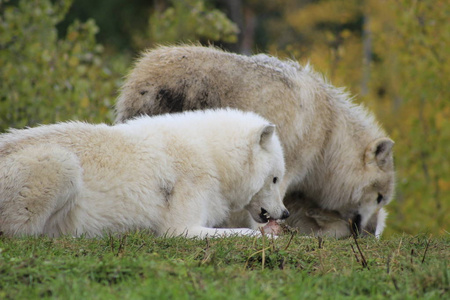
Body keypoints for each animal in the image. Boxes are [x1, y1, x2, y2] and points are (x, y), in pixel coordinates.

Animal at [0, 109, 288, 238]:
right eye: (275, 179)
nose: (285, 214)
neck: (215, 159)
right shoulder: (180, 228)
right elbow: (248, 232)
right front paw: (269, 237)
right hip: (63, 162)